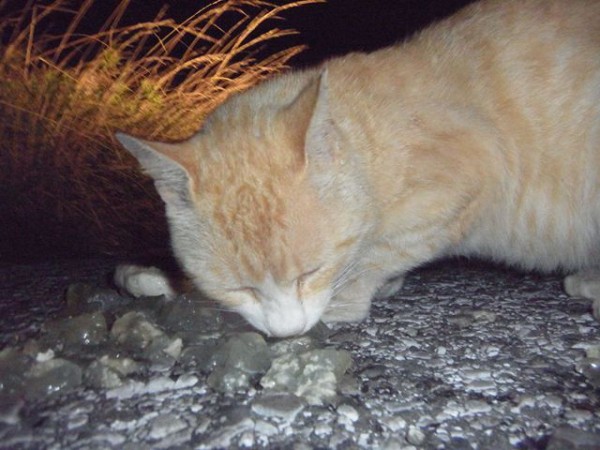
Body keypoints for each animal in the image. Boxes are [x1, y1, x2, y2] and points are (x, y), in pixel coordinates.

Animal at [118, 0, 600, 336]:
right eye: (242, 289)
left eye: (310, 273)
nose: (288, 334)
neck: (366, 139)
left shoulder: (474, 175)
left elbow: (379, 251)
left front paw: (347, 297)